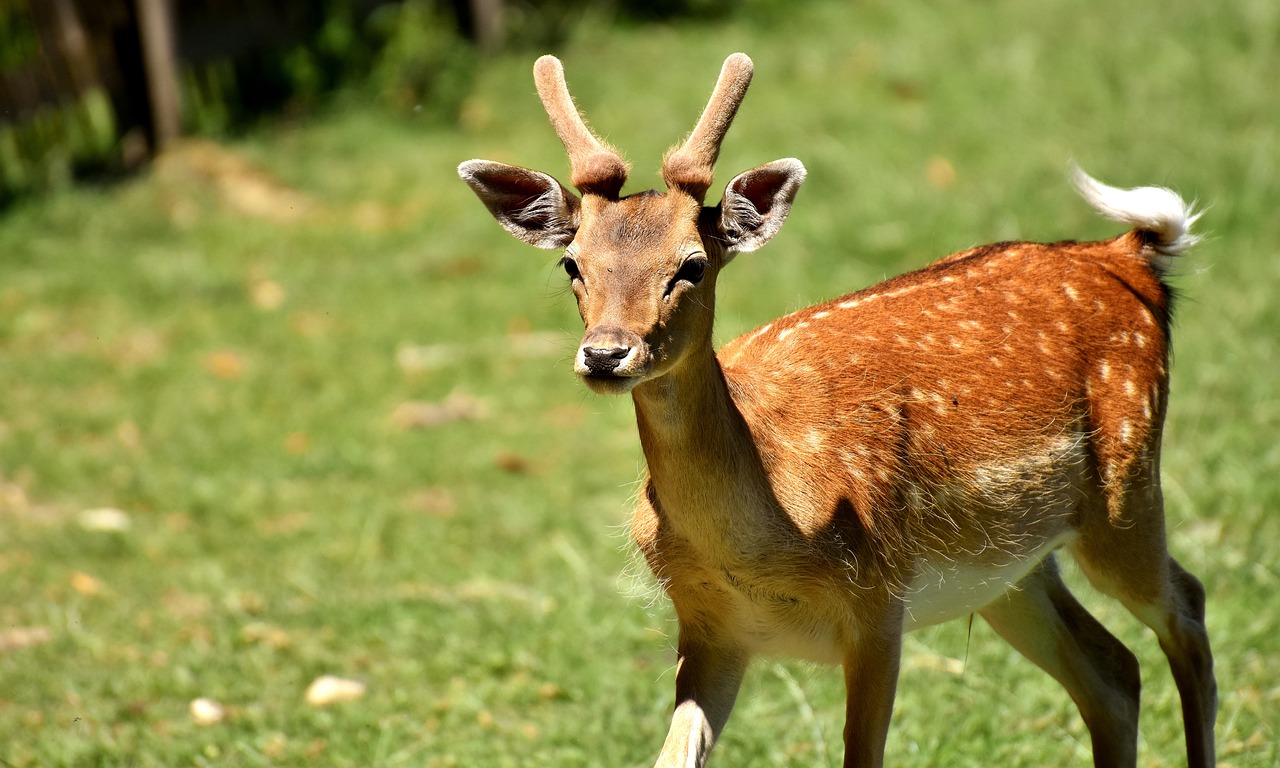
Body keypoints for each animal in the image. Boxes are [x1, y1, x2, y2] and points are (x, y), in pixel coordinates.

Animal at [455, 54, 1213, 768]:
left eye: (692, 264)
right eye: (572, 264)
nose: (607, 354)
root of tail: (1131, 255)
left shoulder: (878, 601)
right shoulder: (708, 628)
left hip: (1126, 486)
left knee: (1188, 607)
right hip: (1010, 571)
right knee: (1113, 672)